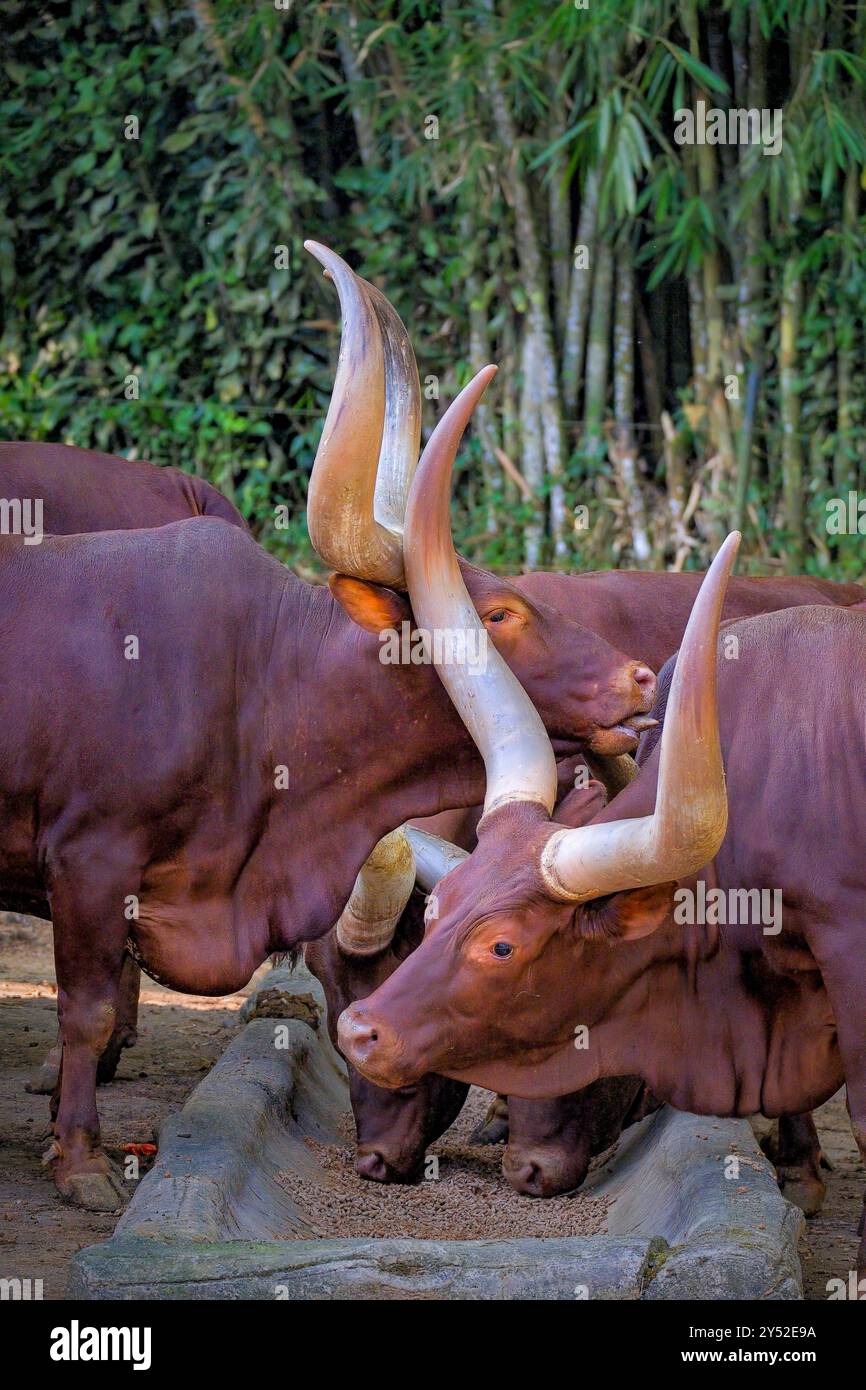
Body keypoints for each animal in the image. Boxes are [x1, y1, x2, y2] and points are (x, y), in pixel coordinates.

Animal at [0, 247, 658, 1212]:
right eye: (499, 613)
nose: (640, 676)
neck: (260, 688)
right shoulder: (89, 861)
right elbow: (82, 1012)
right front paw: (81, 1161)